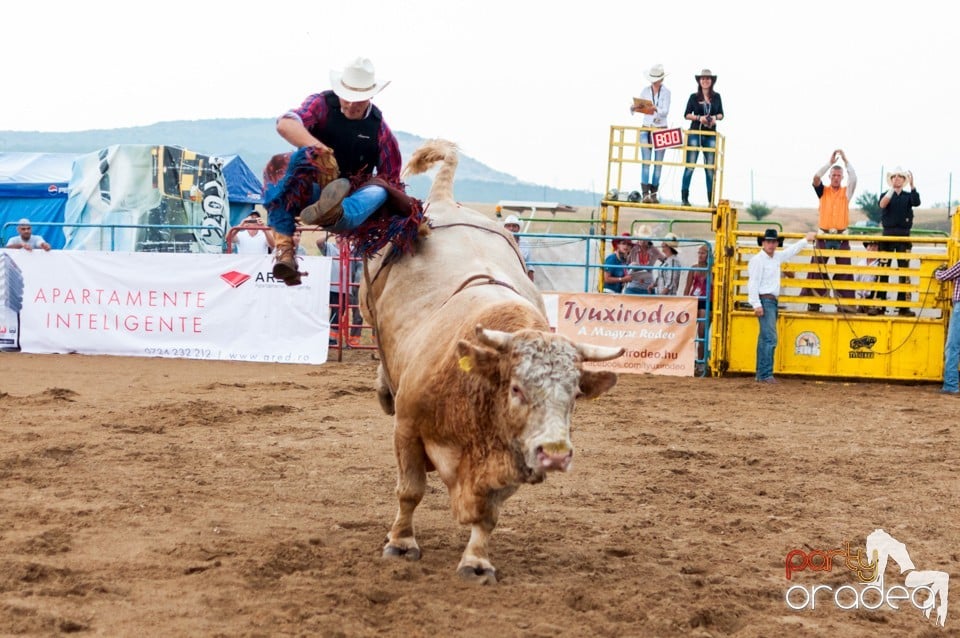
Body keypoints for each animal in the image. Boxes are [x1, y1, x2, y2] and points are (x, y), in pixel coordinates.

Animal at [360, 140, 624, 584]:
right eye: (516, 388)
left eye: (573, 395)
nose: (556, 453)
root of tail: (444, 200)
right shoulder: (407, 429)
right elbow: (410, 490)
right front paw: (401, 542)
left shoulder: (514, 456)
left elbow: (488, 514)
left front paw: (476, 562)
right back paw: (383, 388)